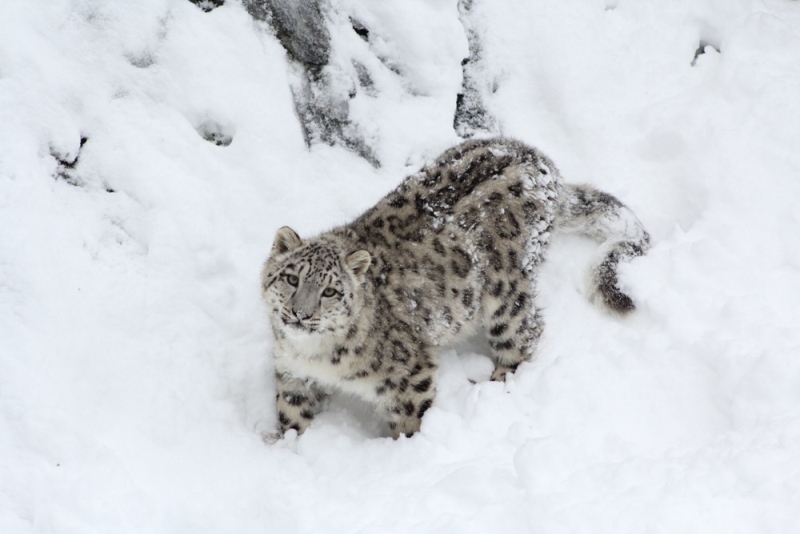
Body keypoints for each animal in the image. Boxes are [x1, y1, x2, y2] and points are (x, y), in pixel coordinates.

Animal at [262, 137, 648, 440]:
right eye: (292, 278)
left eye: (330, 291)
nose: (300, 314)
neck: (313, 353)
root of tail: (541, 162)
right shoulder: (293, 373)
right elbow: (292, 413)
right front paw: (285, 443)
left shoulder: (409, 375)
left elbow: (410, 419)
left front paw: (404, 451)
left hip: (505, 293)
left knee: (525, 333)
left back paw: (496, 386)